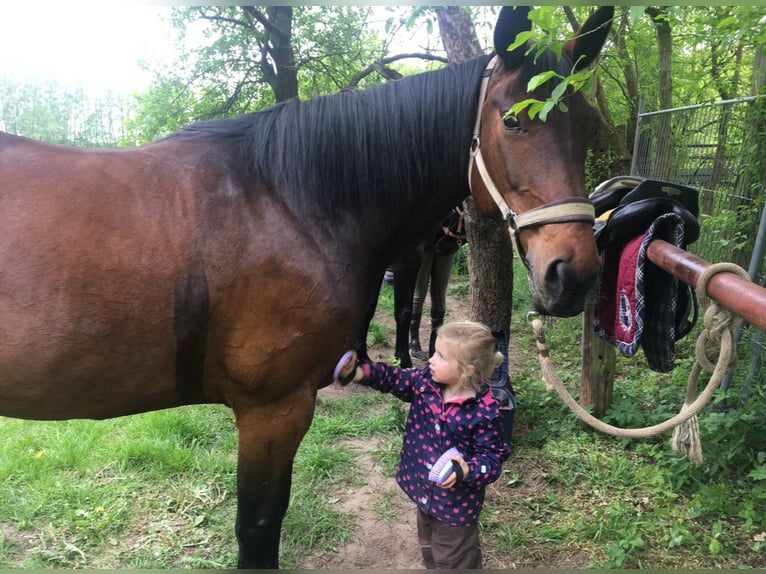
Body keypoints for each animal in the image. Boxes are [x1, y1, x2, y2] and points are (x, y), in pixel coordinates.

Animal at [0, 5, 613, 568]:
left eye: (587, 125)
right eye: (512, 122)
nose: (573, 273)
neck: (288, 202)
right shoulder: (273, 410)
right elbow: (259, 528)